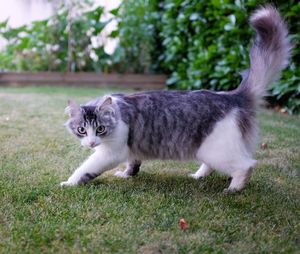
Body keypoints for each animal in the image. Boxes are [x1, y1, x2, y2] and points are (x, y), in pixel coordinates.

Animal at [60, 5, 290, 192]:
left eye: (100, 129)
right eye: (81, 130)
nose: (91, 142)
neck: (117, 112)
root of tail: (233, 96)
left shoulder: (111, 152)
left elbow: (85, 169)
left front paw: (69, 182)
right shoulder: (131, 148)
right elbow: (133, 162)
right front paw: (127, 174)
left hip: (217, 150)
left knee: (246, 165)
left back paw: (234, 189)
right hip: (207, 150)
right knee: (213, 166)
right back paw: (198, 176)